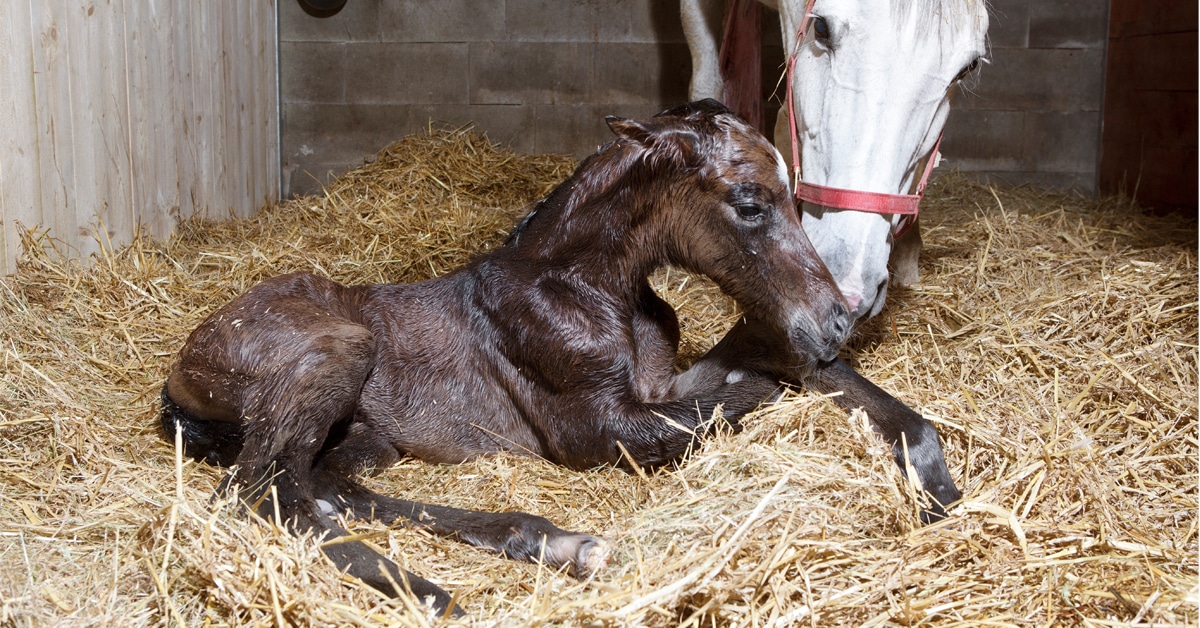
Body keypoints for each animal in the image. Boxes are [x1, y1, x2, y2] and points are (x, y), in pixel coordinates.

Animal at [160, 100, 866, 615]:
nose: (837, 320)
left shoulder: (658, 387)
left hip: (367, 438)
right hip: (339, 351)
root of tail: (181, 367)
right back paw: (430, 591)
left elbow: (727, 382)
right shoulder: (594, 429)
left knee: (326, 486)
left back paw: (552, 543)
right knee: (256, 492)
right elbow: (732, 404)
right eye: (750, 204)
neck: (582, 286)